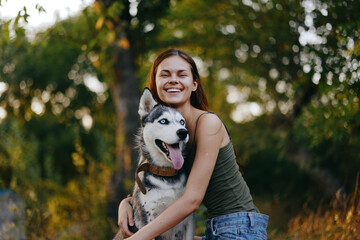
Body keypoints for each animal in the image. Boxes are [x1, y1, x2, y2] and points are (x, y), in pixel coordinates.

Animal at [114, 88, 194, 240]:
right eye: (163, 121)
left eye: (182, 122)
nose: (183, 132)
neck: (166, 173)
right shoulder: (149, 221)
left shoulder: (188, 219)